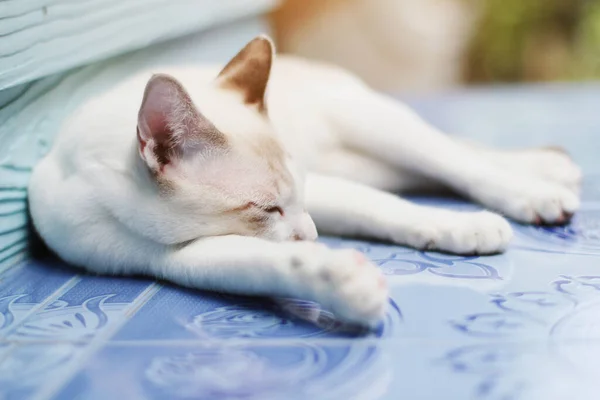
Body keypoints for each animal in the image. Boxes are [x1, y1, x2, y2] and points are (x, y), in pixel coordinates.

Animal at [28, 36, 580, 326]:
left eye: (280, 205)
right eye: (266, 209)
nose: (315, 234)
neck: (95, 173)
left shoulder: (319, 188)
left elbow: (387, 208)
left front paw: (466, 228)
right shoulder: (180, 256)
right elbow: (271, 263)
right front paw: (342, 281)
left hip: (377, 126)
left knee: (457, 159)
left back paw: (540, 187)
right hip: (365, 160)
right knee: (432, 168)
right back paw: (548, 169)